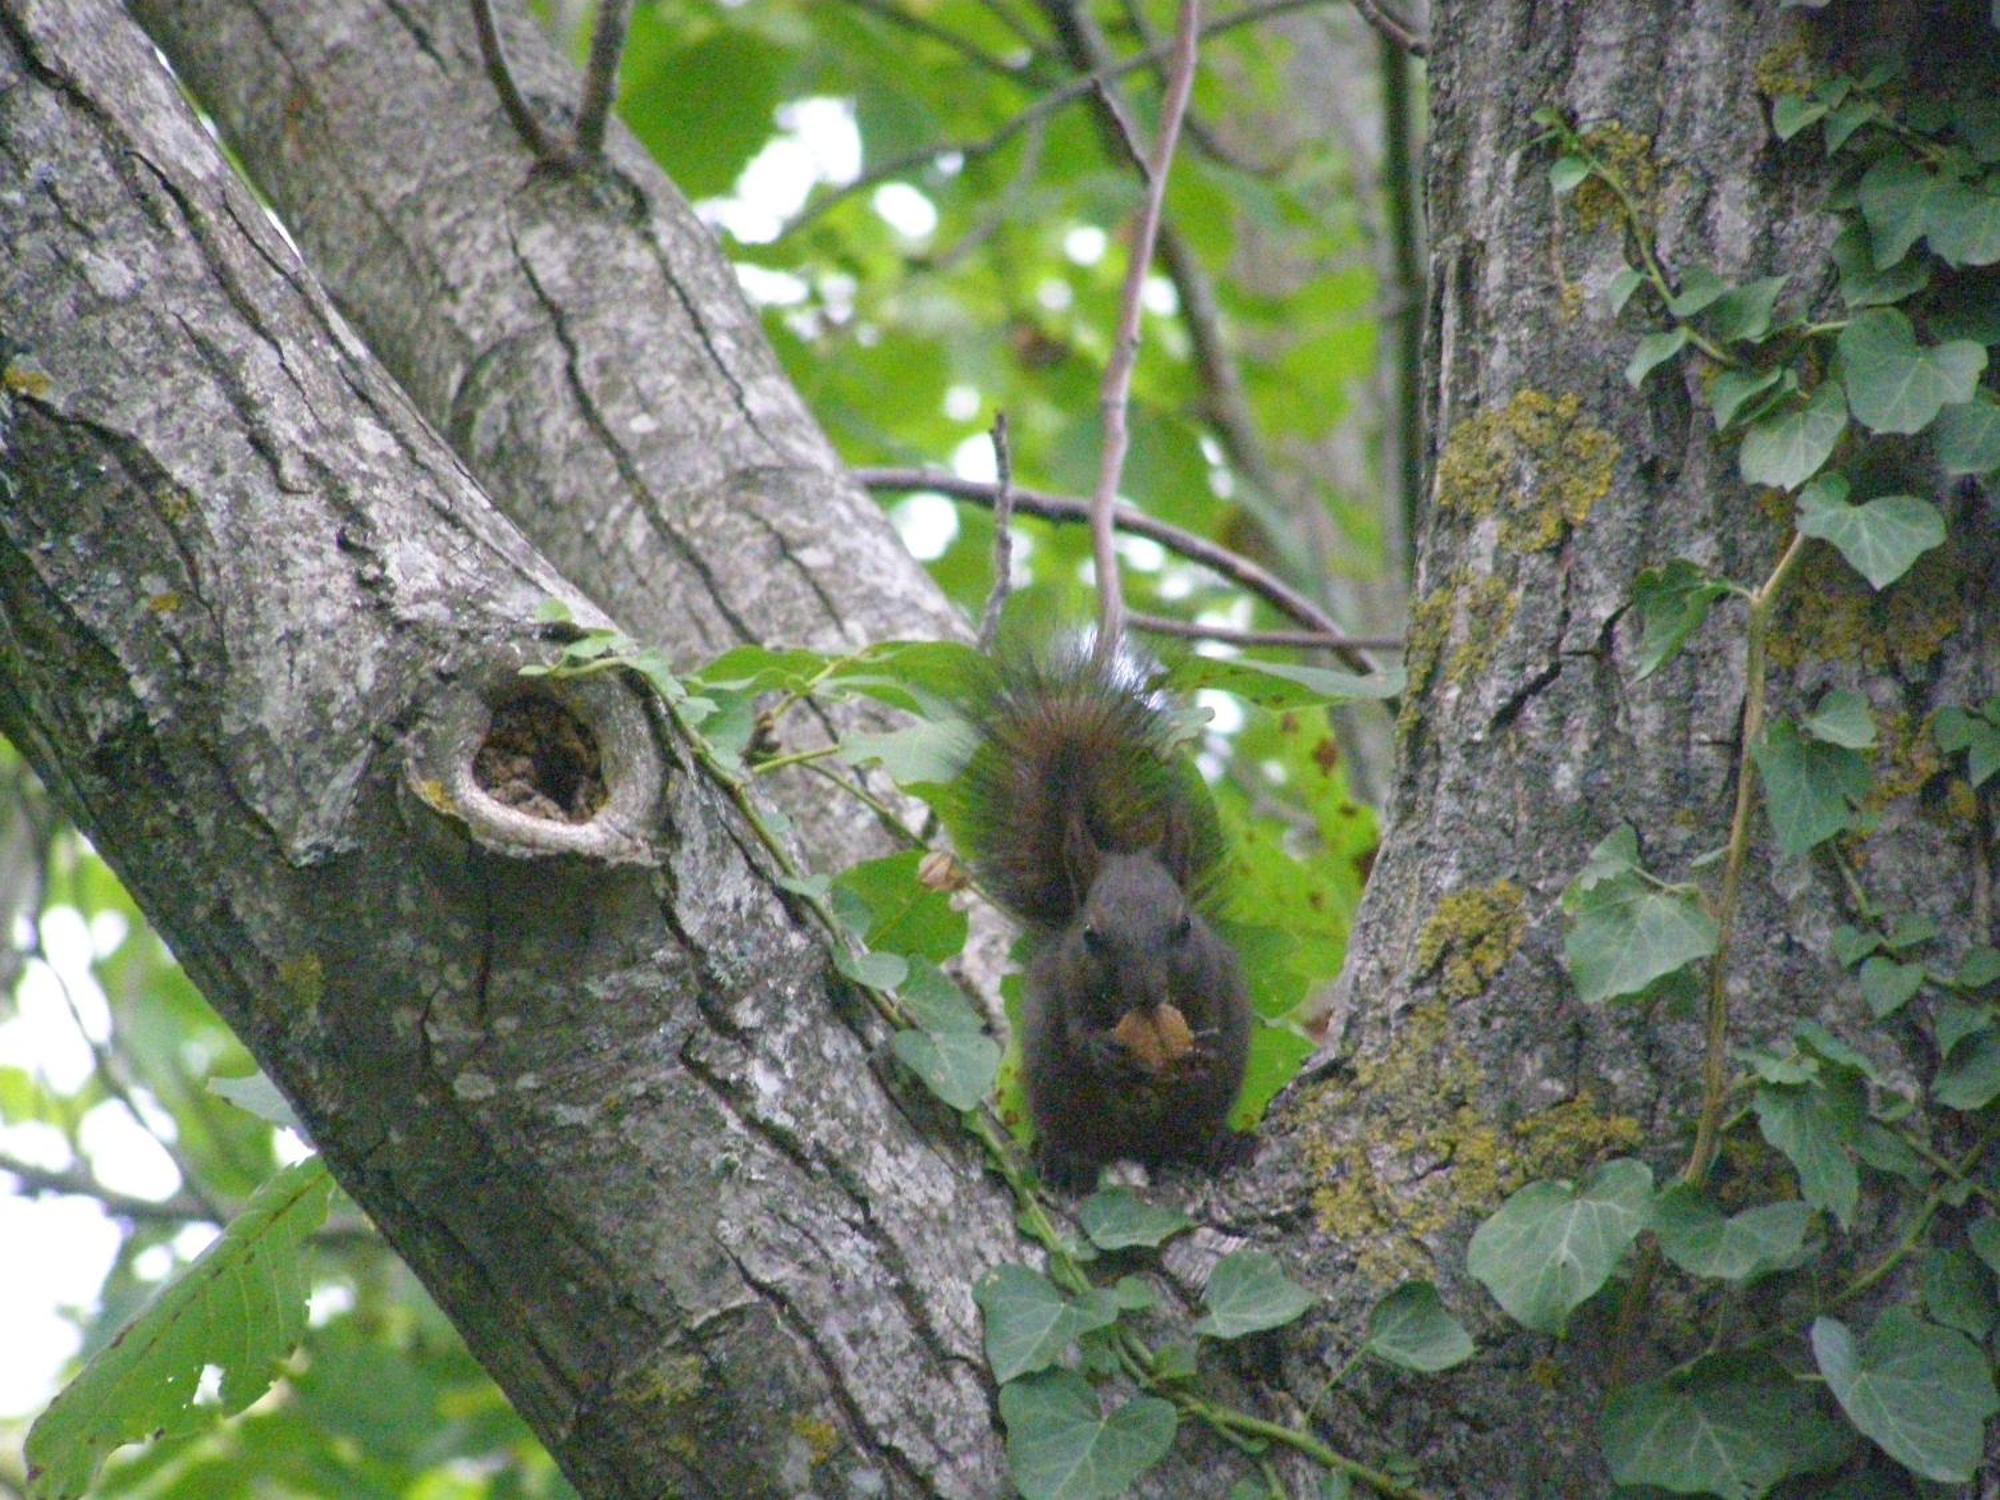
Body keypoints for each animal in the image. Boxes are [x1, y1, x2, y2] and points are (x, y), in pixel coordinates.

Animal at [952, 652, 1248, 1192]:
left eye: (1185, 927)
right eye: (1090, 934)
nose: (1147, 994)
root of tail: (1134, 1149)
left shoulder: (1211, 974)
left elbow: (1210, 1017)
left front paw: (1201, 1048)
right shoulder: (1066, 980)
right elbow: (1076, 1030)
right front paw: (1102, 1050)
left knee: (1192, 1135)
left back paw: (1218, 1144)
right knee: (1077, 1140)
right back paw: (1065, 1161)